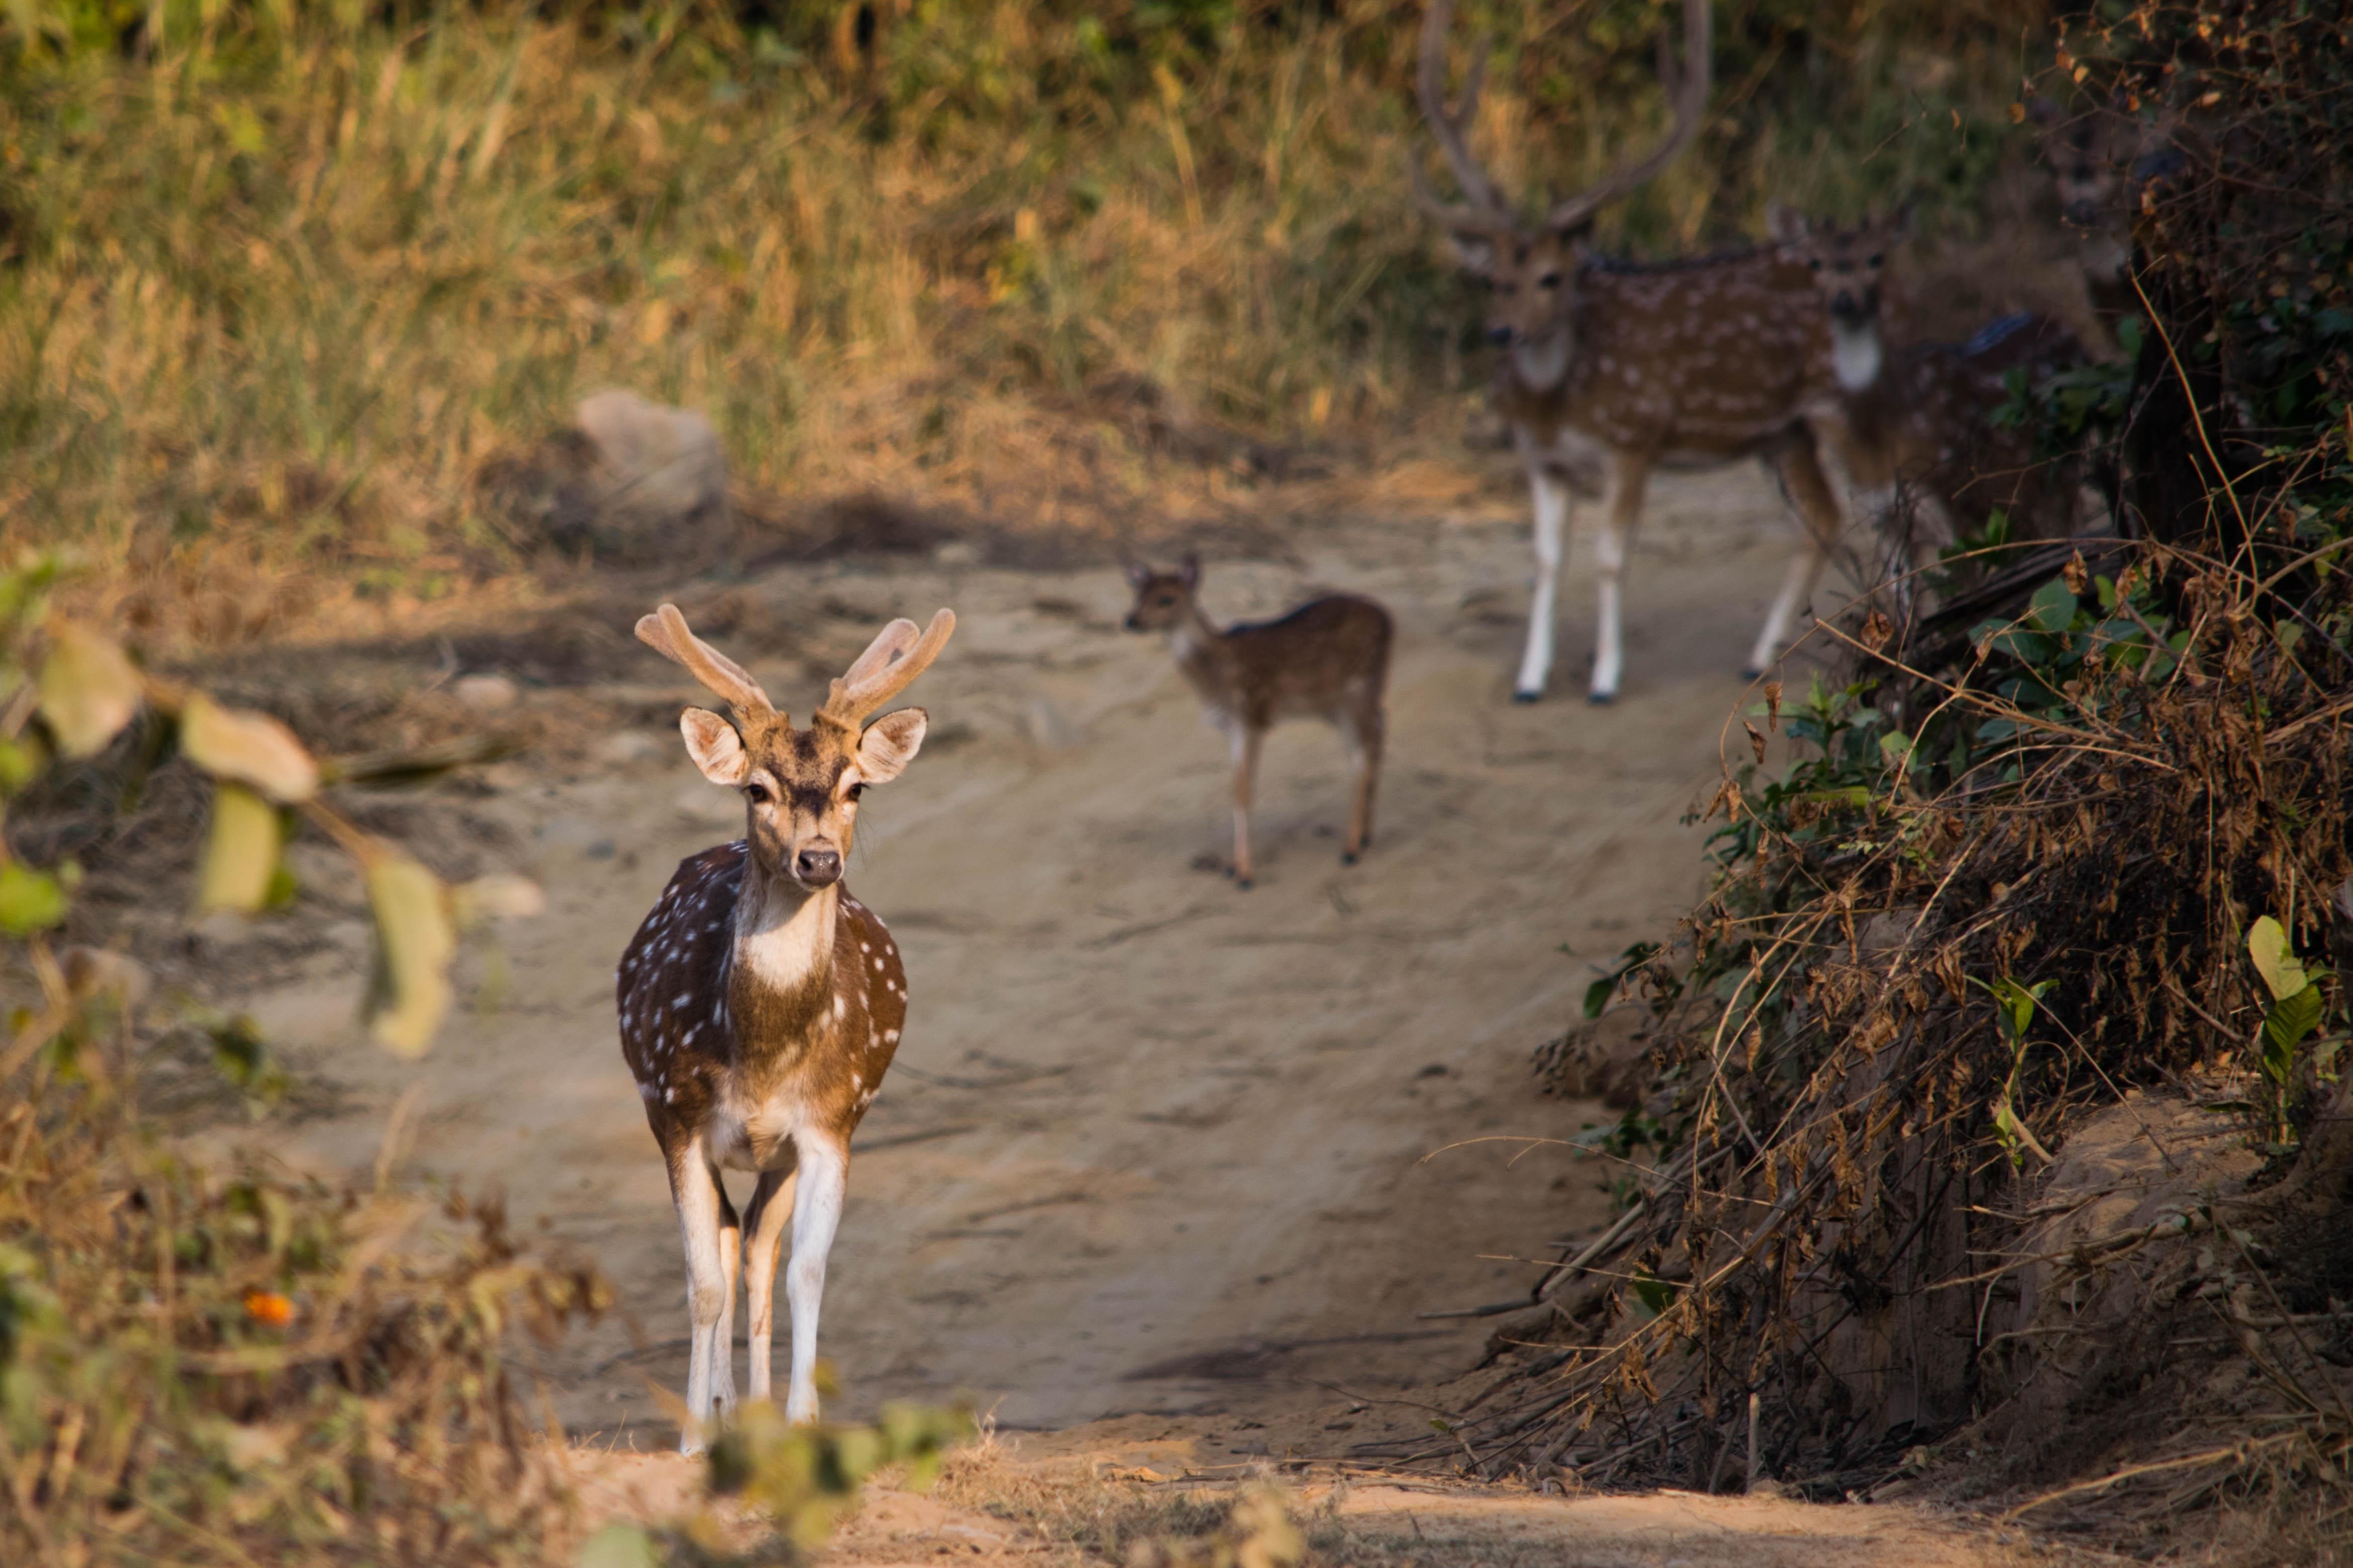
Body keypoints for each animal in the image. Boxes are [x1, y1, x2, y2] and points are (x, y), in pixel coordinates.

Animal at [626, 597, 955, 1448]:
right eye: (756, 787)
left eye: (855, 787)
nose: (818, 859)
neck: (763, 1055)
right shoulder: (677, 1117)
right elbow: (701, 1284)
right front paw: (691, 1438)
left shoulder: (831, 1122)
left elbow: (806, 1268)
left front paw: (802, 1419)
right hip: (686, 1127)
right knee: (725, 1244)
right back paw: (716, 1411)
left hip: (777, 1154)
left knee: (756, 1249)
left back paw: (753, 1413)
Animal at [1115, 557, 1374, 888]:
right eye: (1138, 595)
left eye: (1166, 599)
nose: (1131, 620)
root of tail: (1385, 615)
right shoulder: (1231, 727)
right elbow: (1235, 786)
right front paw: (1234, 867)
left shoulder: (1252, 716)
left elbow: (1244, 789)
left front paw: (1245, 874)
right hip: (1339, 705)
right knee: (1370, 746)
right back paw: (1362, 837)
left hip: (1357, 691)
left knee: (1364, 755)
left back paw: (1352, 849)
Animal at [1402, 0, 1845, 700]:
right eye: (1493, 280)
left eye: (1553, 276)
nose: (1500, 333)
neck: (1560, 402)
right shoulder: (1542, 460)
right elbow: (1546, 560)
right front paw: (1530, 678)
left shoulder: (1634, 441)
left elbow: (1610, 559)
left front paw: (1604, 679)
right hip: (1781, 434)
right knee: (1822, 518)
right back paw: (1770, 652)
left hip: (1837, 403)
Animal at [1769, 202, 2089, 583]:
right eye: (1815, 262)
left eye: (1875, 257)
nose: (1844, 300)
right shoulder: (1882, 514)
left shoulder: (1944, 492)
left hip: (2060, 463)